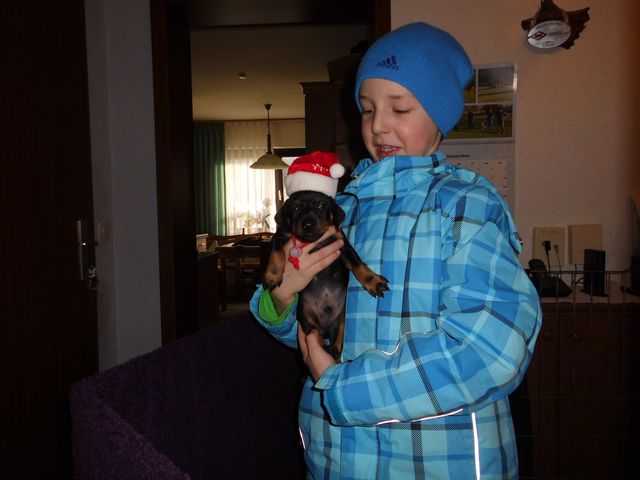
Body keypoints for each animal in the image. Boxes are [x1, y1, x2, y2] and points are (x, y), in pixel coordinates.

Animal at [263, 190, 389, 360]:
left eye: (321, 205)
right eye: (295, 208)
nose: (308, 225)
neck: (315, 242)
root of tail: (326, 327)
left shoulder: (342, 243)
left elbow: (357, 264)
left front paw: (374, 282)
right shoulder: (279, 236)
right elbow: (277, 253)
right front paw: (272, 275)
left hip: (340, 320)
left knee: (338, 339)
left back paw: (334, 352)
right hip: (307, 318)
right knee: (316, 336)